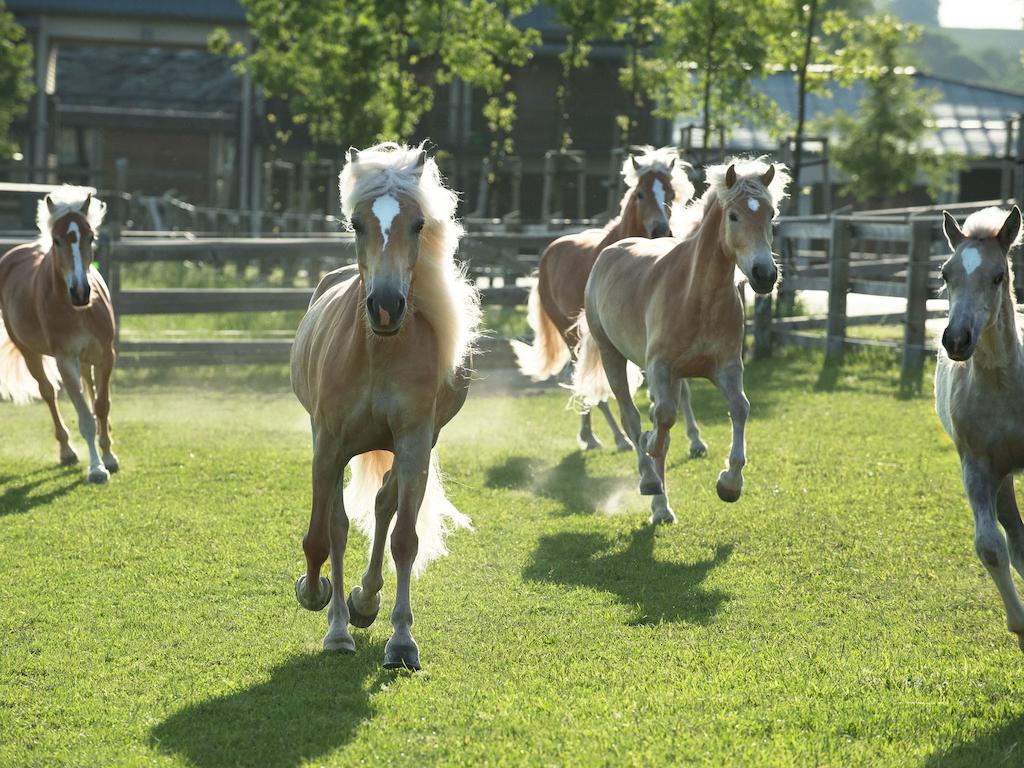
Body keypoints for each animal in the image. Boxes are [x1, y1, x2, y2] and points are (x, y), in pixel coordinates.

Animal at [0, 187, 119, 483]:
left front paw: (110, 457)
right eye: (56, 240)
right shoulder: (65, 361)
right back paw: (67, 452)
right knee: (48, 392)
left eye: (91, 236)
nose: (80, 292)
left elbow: (101, 405)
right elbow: (85, 416)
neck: (80, 311)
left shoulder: (106, 355)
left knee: (90, 388)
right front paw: (97, 468)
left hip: (86, 358)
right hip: (29, 352)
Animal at [288, 141, 479, 671]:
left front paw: (402, 640)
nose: (387, 306)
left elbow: (404, 539)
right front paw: (314, 595)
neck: (378, 355)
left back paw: (365, 601)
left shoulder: (414, 444)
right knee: (336, 525)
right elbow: (320, 535)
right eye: (357, 223)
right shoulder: (328, 445)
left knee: (384, 507)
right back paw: (338, 625)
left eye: (418, 224)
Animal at [507, 146, 708, 454]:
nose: (661, 230)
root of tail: (549, 252)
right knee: (584, 381)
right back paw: (604, 437)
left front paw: (696, 441)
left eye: (671, 193)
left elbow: (681, 388)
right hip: (574, 336)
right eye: (640, 194)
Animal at [573, 159, 786, 528]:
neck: (697, 296)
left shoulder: (727, 367)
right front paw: (651, 457)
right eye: (734, 216)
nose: (764, 275)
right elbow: (661, 419)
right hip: (612, 355)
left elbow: (739, 408)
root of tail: (609, 251)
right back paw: (650, 484)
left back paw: (661, 506)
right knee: (631, 418)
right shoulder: (660, 367)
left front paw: (729, 484)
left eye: (770, 214)